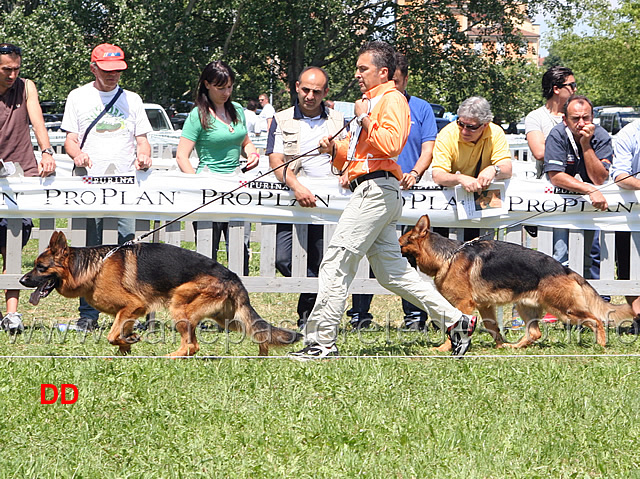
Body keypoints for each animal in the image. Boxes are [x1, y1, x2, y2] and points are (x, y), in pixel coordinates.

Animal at [19, 232, 300, 356]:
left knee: (192, 345)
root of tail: (234, 278)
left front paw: (127, 342)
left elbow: (111, 335)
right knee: (259, 332)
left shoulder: (133, 305)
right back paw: (262, 354)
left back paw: (169, 357)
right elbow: (119, 335)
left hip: (179, 305)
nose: (22, 280)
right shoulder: (128, 312)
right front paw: (128, 344)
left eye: (40, 267)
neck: (94, 267)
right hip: (229, 319)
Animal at [400, 216, 636, 350]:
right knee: (535, 333)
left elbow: (456, 325)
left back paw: (601, 345)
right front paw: (500, 345)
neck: (447, 256)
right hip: (526, 307)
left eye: (400, 243)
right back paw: (515, 346)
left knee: (596, 320)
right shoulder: (485, 306)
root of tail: (567, 270)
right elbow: (492, 327)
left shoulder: (464, 304)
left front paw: (445, 348)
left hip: (565, 310)